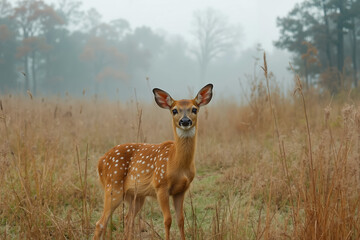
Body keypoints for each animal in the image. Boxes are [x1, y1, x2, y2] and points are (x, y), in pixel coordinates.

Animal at [93, 83, 214, 239]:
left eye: (194, 109)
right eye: (174, 110)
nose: (185, 121)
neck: (175, 162)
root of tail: (100, 162)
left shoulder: (181, 190)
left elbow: (180, 219)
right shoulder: (160, 185)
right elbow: (167, 220)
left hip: (136, 195)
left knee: (128, 218)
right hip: (113, 186)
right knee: (100, 223)